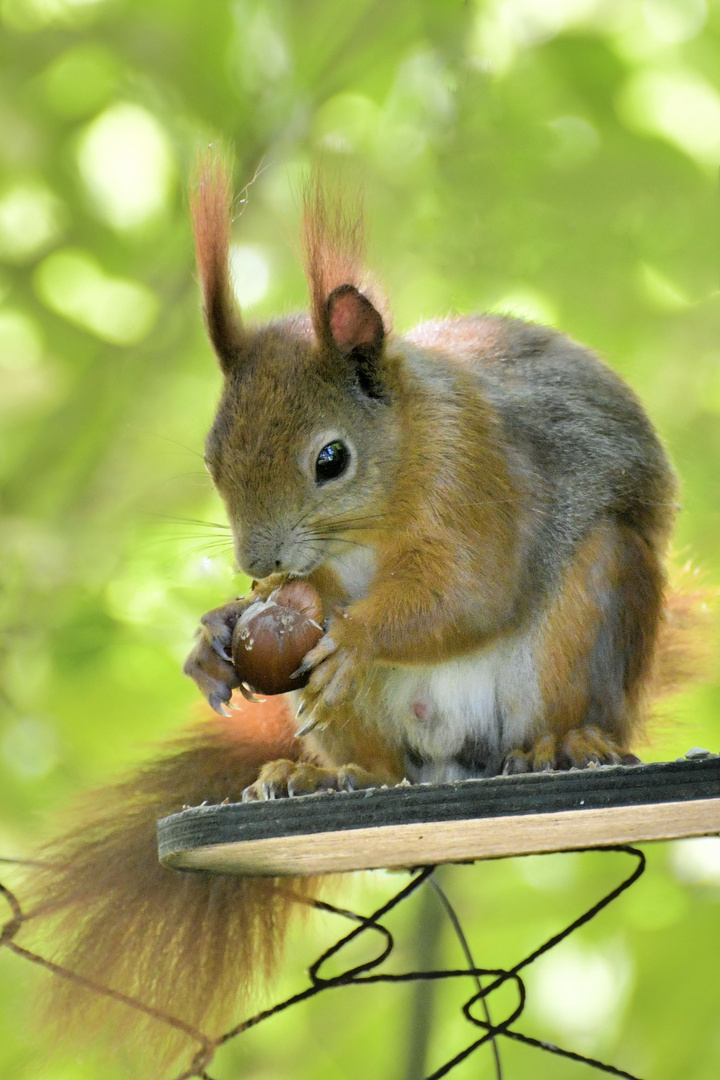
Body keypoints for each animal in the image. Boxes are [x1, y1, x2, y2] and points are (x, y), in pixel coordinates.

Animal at [22, 156, 699, 1067]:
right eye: (212, 457)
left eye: (330, 459)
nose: (257, 563)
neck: (388, 484)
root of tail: (457, 763)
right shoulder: (318, 575)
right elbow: (304, 603)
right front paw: (215, 634)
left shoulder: (480, 474)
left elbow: (473, 587)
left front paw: (354, 636)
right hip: (361, 727)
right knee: (375, 761)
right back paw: (319, 773)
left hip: (593, 612)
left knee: (562, 690)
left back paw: (566, 744)